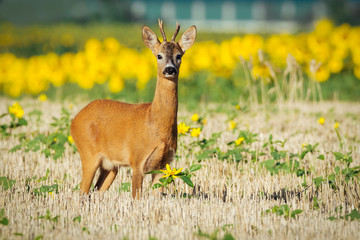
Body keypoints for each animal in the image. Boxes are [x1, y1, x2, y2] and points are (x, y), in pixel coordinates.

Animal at [70, 19, 197, 199]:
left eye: (179, 55)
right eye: (159, 55)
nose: (169, 69)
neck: (154, 123)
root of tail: (74, 121)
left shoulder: (163, 165)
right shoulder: (137, 160)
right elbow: (136, 197)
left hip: (110, 166)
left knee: (97, 191)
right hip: (88, 153)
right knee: (82, 190)